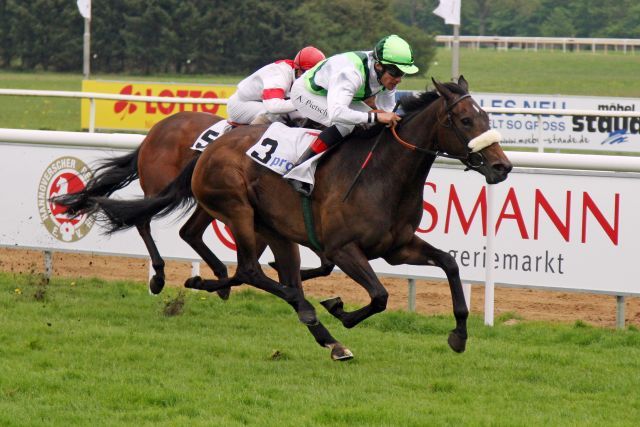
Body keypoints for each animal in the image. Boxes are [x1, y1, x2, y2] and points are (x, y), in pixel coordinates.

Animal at [90, 77, 512, 362]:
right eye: (464, 120)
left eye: (486, 116)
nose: (502, 167)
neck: (383, 174)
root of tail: (209, 148)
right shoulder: (343, 248)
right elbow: (379, 295)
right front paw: (340, 310)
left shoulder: (398, 247)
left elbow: (449, 264)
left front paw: (459, 334)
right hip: (236, 209)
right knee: (247, 269)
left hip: (272, 227)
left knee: (243, 262)